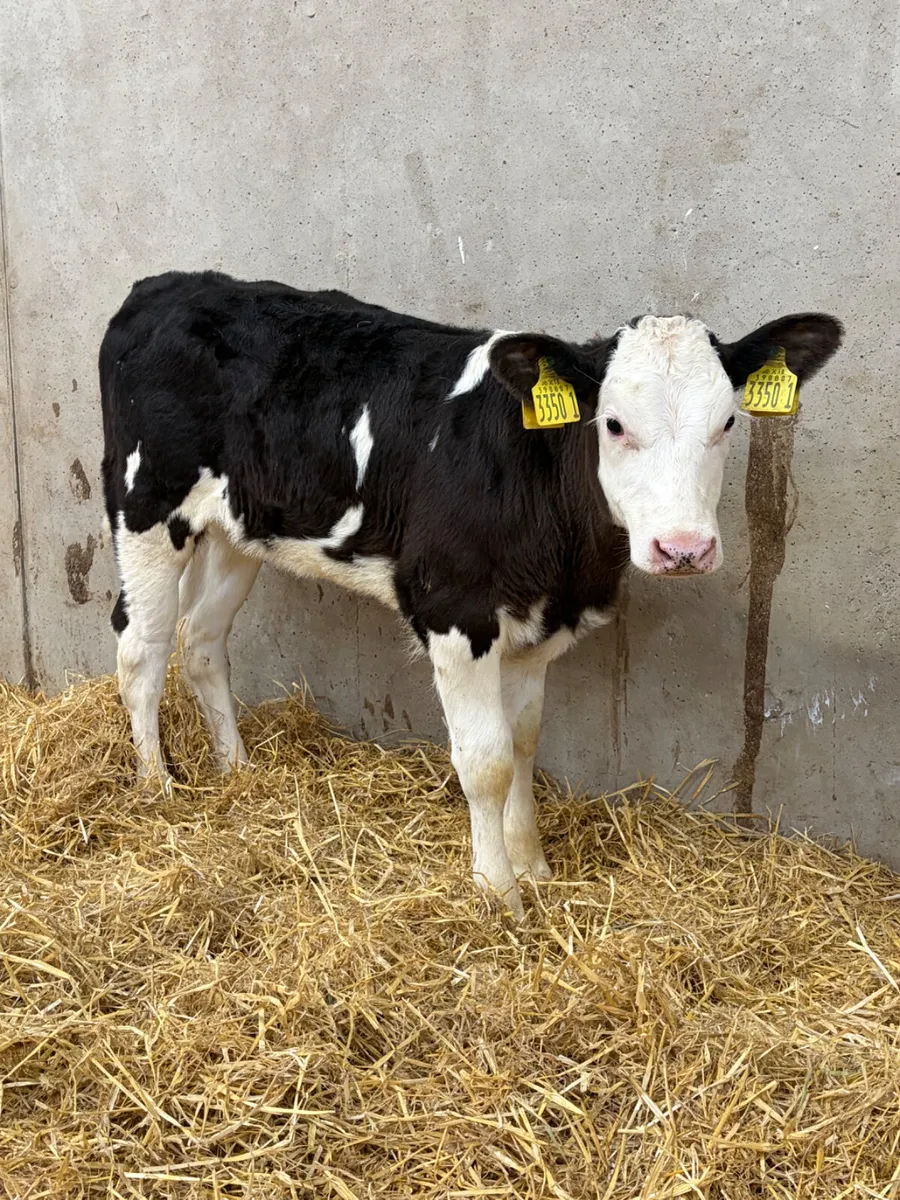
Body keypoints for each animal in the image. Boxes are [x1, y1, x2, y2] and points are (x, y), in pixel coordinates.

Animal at [99, 270, 842, 919]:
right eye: (613, 424)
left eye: (728, 422)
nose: (682, 548)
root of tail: (170, 285)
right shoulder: (453, 611)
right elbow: (485, 763)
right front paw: (498, 893)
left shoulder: (540, 626)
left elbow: (524, 743)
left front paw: (534, 865)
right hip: (145, 502)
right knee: (142, 646)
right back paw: (158, 785)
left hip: (237, 529)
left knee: (201, 640)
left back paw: (237, 769)